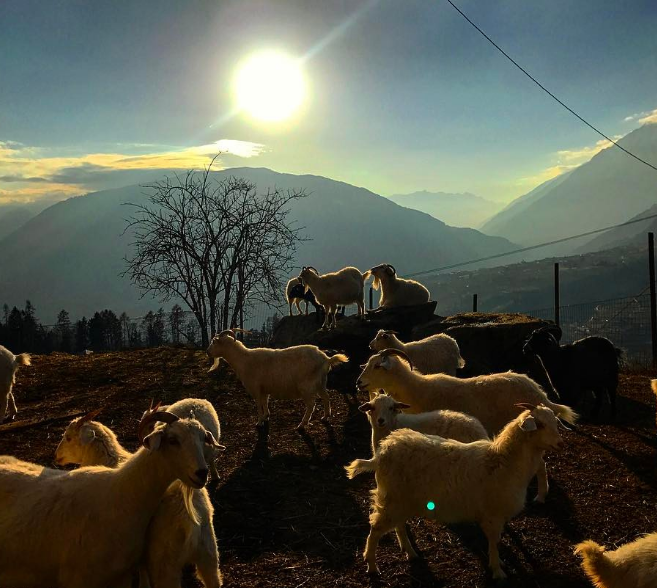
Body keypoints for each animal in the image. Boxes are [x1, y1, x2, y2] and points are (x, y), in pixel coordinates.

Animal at [0, 406, 222, 588]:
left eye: (69, 437)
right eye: (173, 440)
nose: (202, 473)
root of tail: (192, 519)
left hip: (168, 562)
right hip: (208, 554)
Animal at [207, 328, 349, 430]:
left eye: (214, 341)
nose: (208, 352)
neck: (243, 360)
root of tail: (326, 359)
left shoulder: (255, 388)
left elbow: (258, 404)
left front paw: (259, 422)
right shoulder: (264, 389)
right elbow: (265, 402)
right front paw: (266, 416)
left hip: (307, 386)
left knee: (311, 405)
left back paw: (302, 425)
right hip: (321, 382)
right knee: (326, 397)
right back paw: (325, 417)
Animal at [345, 403, 566, 579]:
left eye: (554, 422)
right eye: (540, 425)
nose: (560, 443)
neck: (503, 461)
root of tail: (383, 451)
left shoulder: (496, 515)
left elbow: (496, 542)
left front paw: (498, 564)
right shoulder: (492, 515)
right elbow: (494, 542)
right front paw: (497, 570)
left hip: (402, 499)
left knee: (398, 525)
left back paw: (410, 552)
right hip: (392, 498)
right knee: (376, 528)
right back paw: (372, 566)